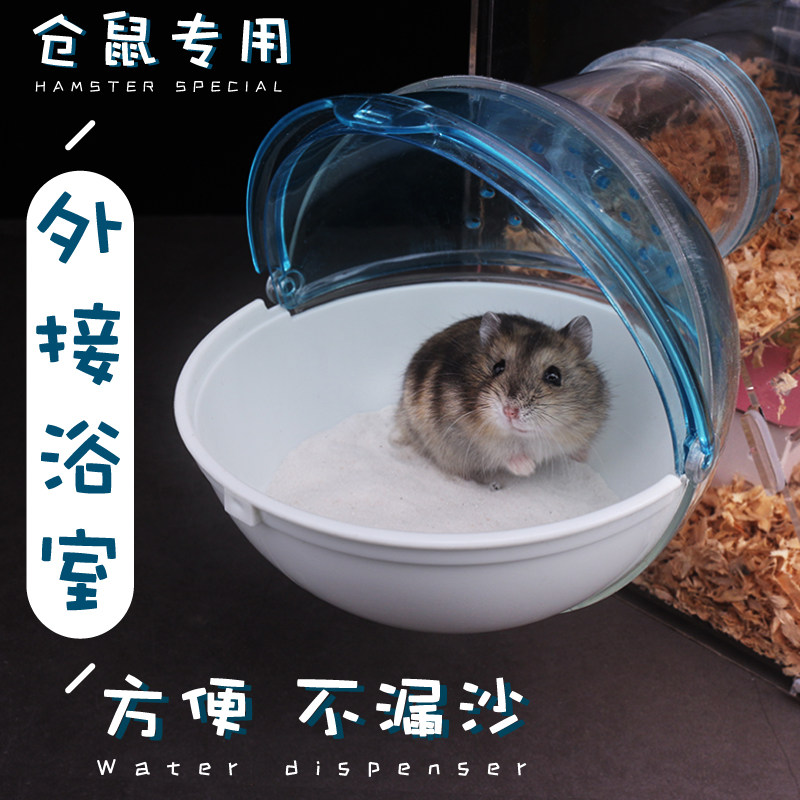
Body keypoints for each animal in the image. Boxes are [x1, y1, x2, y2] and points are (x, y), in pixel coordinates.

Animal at [394, 311, 609, 484]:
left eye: (554, 376)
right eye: (497, 367)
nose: (510, 411)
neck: (527, 437)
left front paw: (583, 455)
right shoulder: (470, 439)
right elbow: (503, 452)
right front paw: (528, 469)